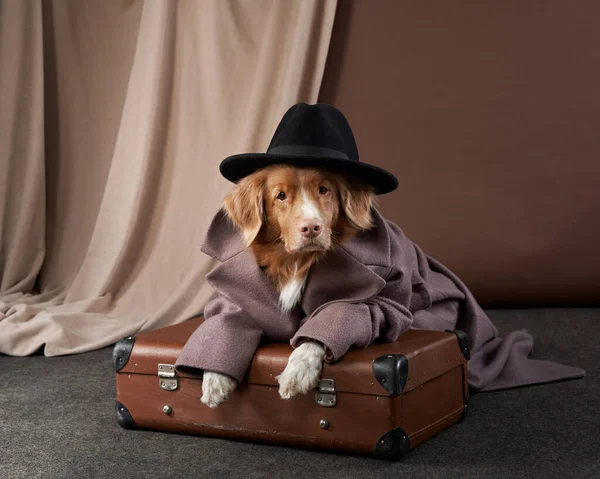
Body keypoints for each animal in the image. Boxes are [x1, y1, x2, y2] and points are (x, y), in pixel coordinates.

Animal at [199, 165, 376, 408]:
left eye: (324, 190)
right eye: (281, 195)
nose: (311, 227)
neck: (293, 261)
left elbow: (322, 326)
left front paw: (299, 370)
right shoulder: (236, 303)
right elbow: (227, 324)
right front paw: (215, 377)